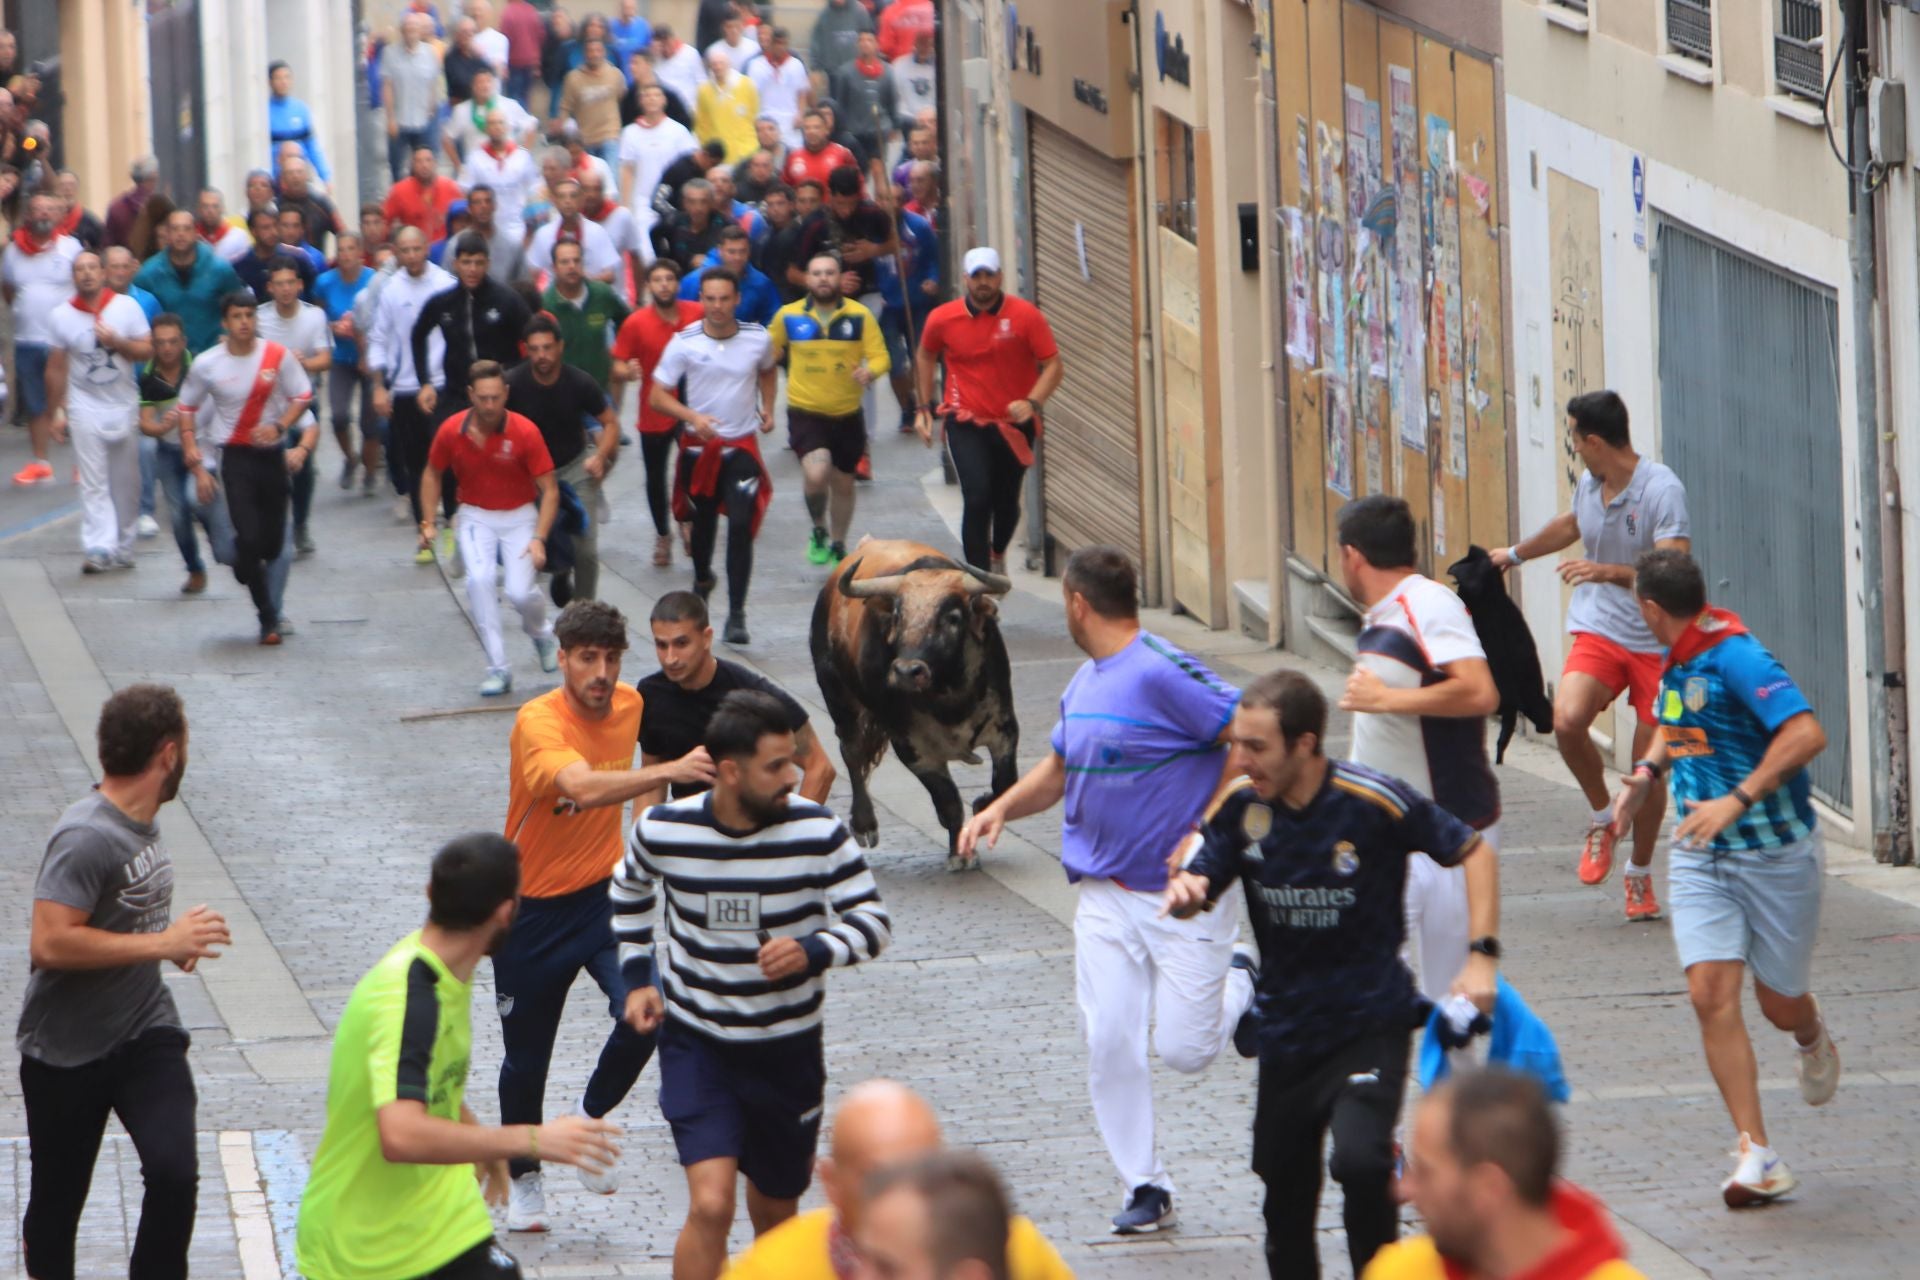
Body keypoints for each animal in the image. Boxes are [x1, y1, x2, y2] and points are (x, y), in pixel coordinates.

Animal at [810, 537, 1021, 875]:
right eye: (898, 617)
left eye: (952, 618)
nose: (907, 671)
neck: (949, 698)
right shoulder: (913, 749)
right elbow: (947, 800)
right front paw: (960, 853)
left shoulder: (1004, 728)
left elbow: (1006, 785)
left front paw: (980, 805)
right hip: (838, 699)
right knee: (851, 753)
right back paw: (864, 823)